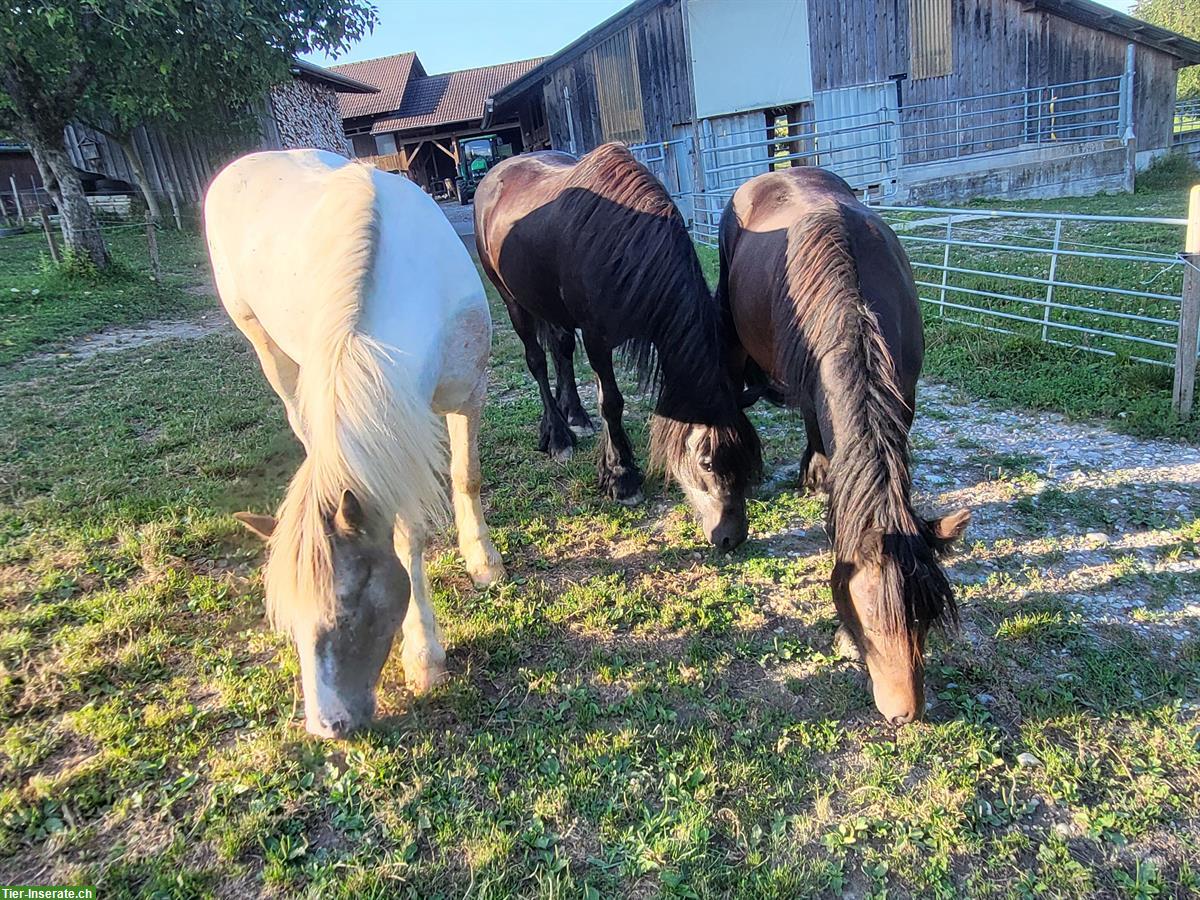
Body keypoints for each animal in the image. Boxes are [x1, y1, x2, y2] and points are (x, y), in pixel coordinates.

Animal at [204, 150, 504, 739]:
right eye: (289, 623)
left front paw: (483, 565)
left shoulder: (469, 395)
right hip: (267, 346)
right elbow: (408, 534)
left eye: (344, 611)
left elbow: (465, 478)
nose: (327, 727)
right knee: (302, 419)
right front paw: (425, 654)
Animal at [475, 142, 763, 549]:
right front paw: (622, 476)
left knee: (561, 349)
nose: (731, 538)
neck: (621, 246)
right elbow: (611, 402)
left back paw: (574, 415)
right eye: (707, 462)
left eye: (750, 454)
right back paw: (557, 435)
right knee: (537, 361)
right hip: (514, 302)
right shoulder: (598, 340)